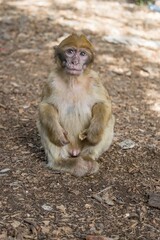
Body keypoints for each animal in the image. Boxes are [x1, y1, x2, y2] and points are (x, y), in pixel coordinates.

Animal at [37, 33, 115, 176]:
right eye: (70, 52)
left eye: (82, 54)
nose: (75, 62)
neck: (73, 80)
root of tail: (75, 150)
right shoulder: (51, 80)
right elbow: (45, 106)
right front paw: (57, 134)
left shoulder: (95, 79)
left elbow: (103, 103)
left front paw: (93, 134)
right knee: (43, 120)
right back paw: (61, 162)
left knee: (109, 119)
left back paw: (88, 158)